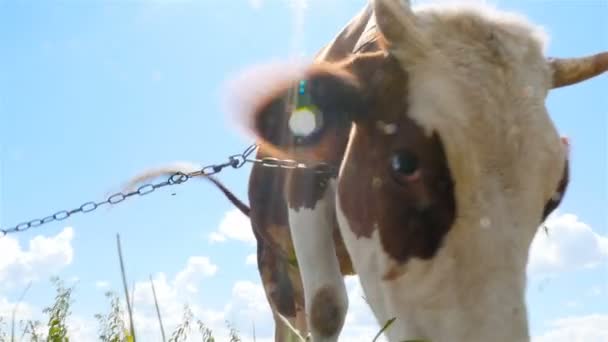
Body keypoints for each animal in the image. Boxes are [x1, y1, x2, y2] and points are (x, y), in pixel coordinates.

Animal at [126, 0, 604, 340]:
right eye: (403, 163)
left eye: (556, 191)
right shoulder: (303, 188)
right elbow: (326, 308)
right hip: (271, 257)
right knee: (290, 316)